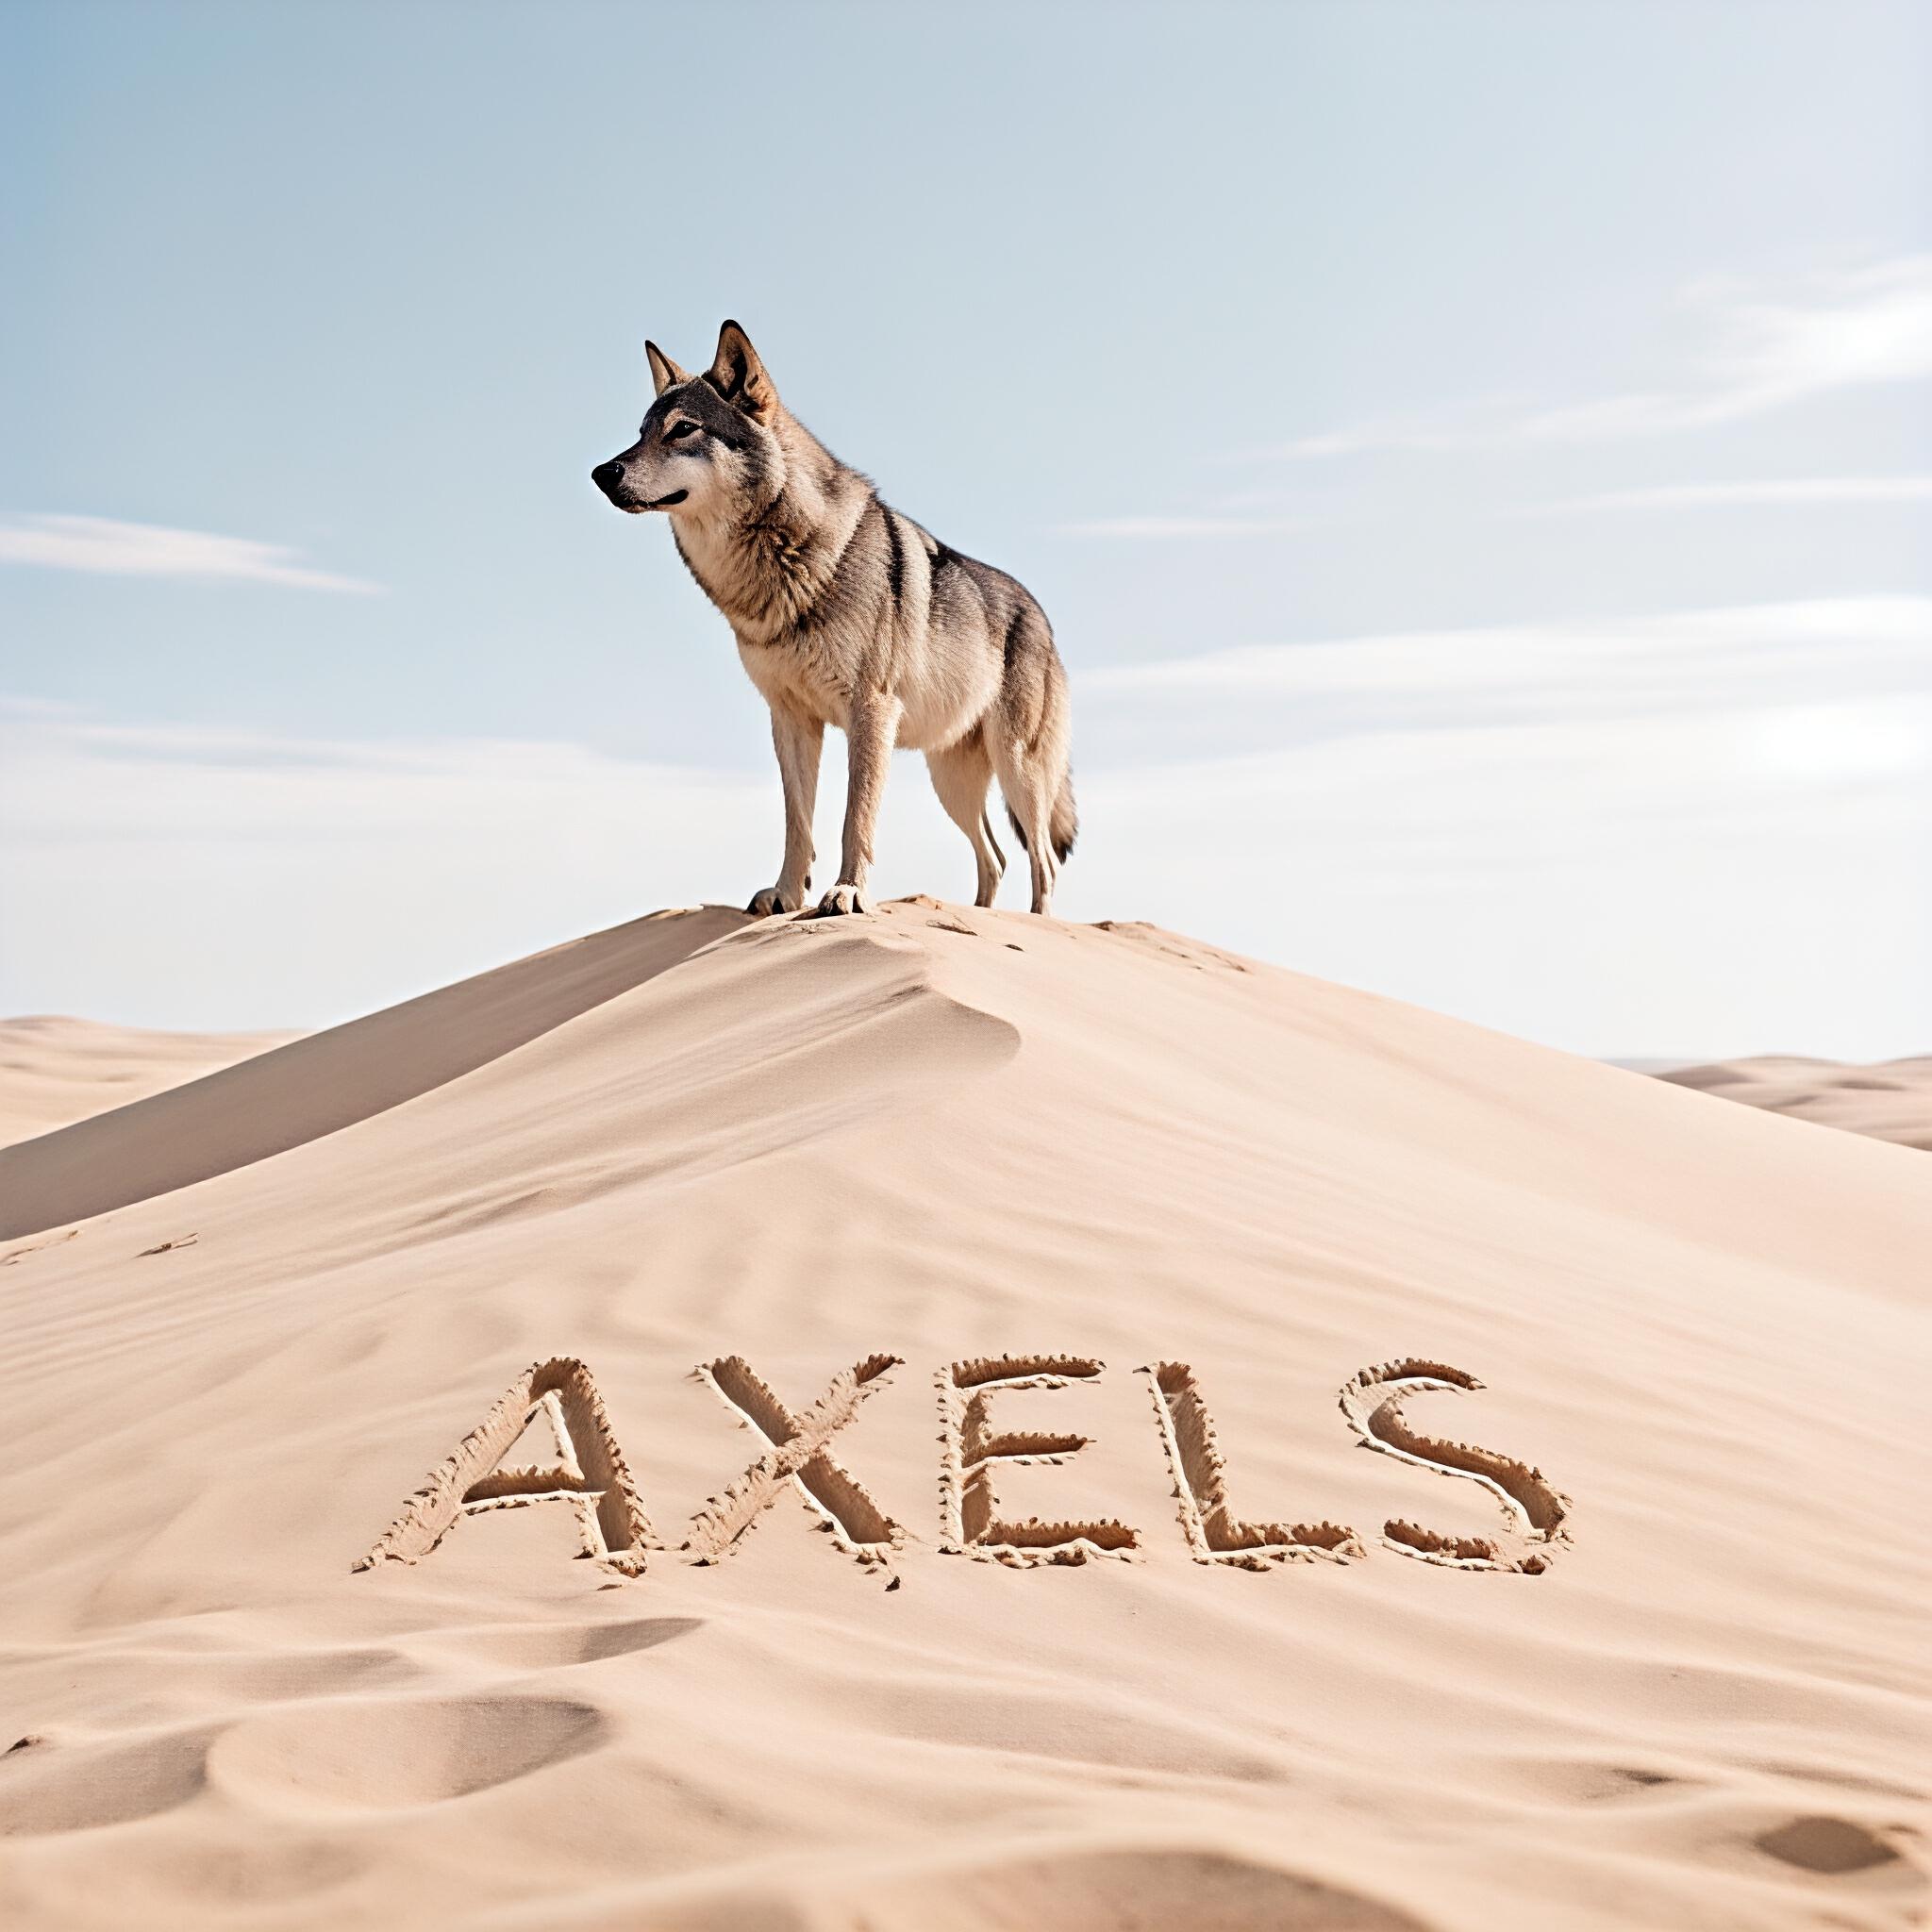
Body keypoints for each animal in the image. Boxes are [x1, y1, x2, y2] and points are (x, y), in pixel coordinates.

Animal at [592, 321, 1075, 917]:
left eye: (683, 429)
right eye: (640, 433)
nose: (601, 472)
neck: (784, 570)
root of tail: (1042, 615)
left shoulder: (870, 713)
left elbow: (854, 819)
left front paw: (847, 894)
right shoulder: (790, 718)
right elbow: (797, 822)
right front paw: (785, 895)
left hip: (1016, 772)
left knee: (1043, 861)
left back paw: (1038, 926)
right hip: (952, 782)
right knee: (997, 858)